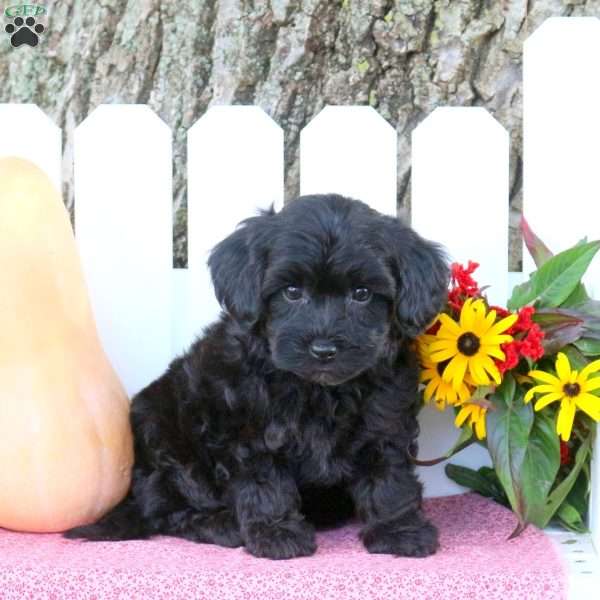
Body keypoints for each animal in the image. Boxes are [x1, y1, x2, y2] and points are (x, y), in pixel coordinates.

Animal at [67, 195, 450, 560]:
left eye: (362, 294)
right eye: (292, 292)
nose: (324, 348)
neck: (320, 390)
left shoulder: (386, 423)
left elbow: (390, 478)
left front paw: (399, 531)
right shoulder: (249, 429)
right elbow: (264, 481)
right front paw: (276, 535)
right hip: (162, 431)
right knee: (167, 508)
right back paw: (221, 524)